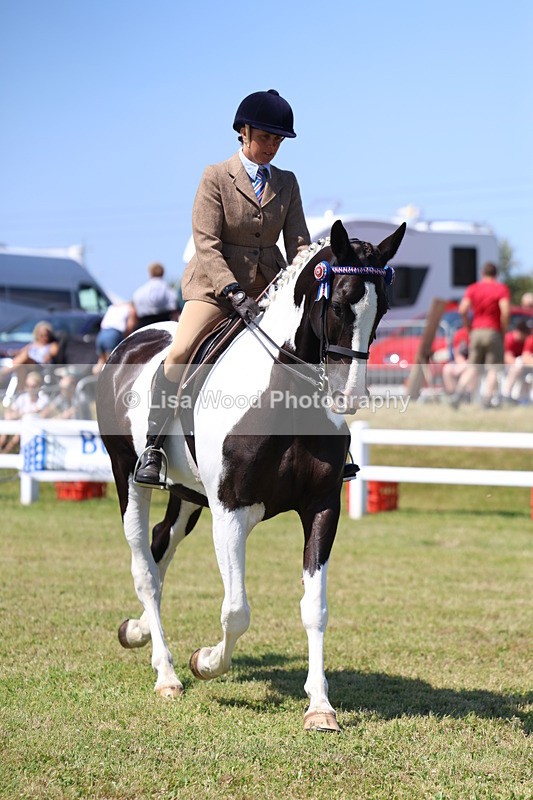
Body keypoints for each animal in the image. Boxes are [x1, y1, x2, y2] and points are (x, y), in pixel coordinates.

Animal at [96, 219, 405, 732]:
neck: (285, 394)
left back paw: (136, 630)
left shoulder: (322, 506)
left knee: (161, 546)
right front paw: (205, 662)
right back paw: (167, 674)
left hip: (187, 495)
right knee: (145, 567)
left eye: (384, 308)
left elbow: (315, 608)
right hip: (129, 476)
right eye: (340, 303)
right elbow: (236, 610)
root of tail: (129, 342)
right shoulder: (231, 512)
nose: (348, 397)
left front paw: (320, 707)